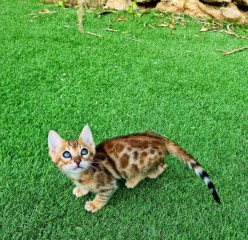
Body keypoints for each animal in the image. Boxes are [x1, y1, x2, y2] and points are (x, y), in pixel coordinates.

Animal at [48, 124, 221, 213]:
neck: (81, 175)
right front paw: (81, 190)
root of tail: (161, 139)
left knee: (159, 168)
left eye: (84, 152)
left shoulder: (108, 185)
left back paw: (133, 180)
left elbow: (102, 196)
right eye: (66, 154)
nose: (77, 161)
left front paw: (94, 204)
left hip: (141, 163)